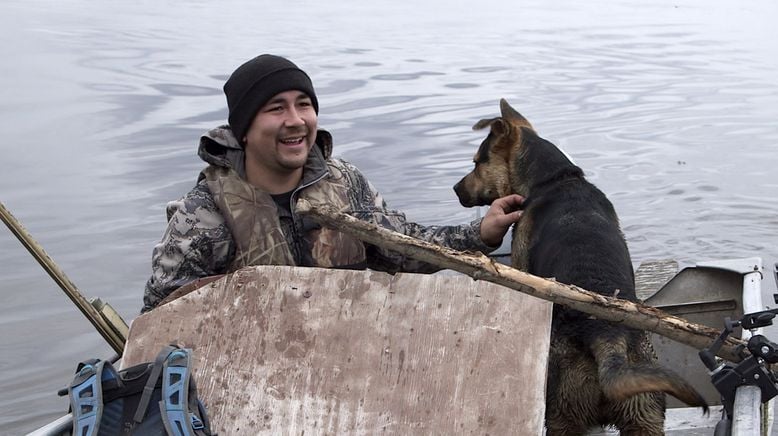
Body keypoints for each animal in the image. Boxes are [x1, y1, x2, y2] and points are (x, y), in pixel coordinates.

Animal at [452, 100, 708, 434]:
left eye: (476, 162)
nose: (455, 189)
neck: (555, 179)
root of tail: (605, 335)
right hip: (644, 413)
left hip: (563, 414)